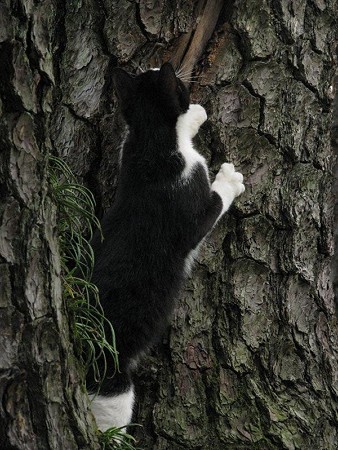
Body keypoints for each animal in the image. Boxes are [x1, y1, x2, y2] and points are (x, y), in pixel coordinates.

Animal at [86, 63, 246, 432]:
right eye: (180, 88)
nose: (164, 65)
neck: (151, 144)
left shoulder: (129, 150)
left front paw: (196, 117)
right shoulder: (190, 210)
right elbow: (215, 202)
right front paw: (229, 179)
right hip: (111, 383)